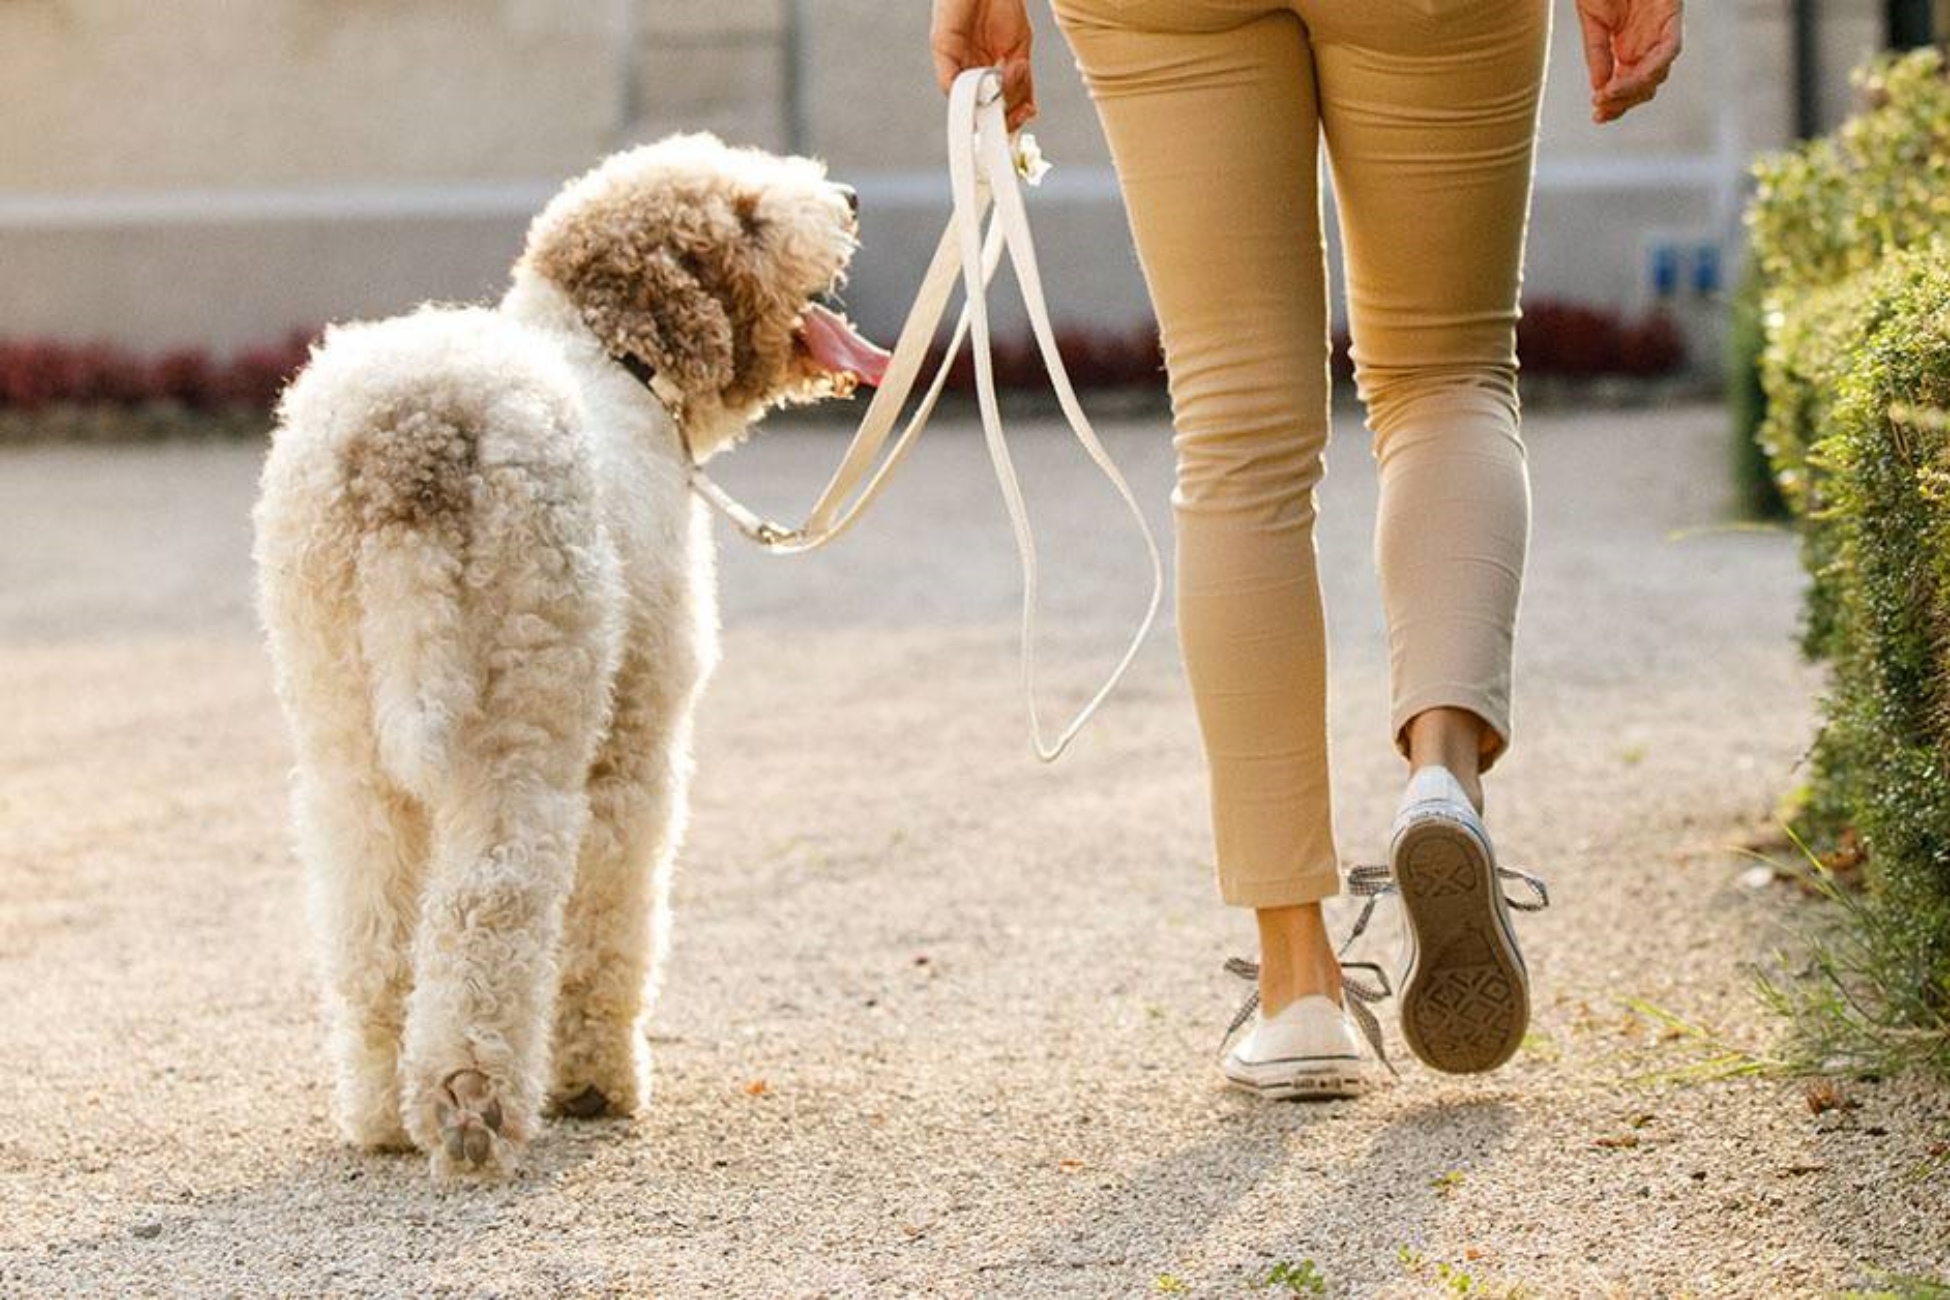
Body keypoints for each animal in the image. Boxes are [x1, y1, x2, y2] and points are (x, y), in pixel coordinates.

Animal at [251, 134, 885, 1177]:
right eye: (748, 216)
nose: (851, 197)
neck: (616, 362)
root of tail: (410, 445)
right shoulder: (634, 745)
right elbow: (610, 912)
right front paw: (592, 1081)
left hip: (342, 715)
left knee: (372, 919)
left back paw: (385, 1113)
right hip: (524, 708)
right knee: (492, 898)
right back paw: (471, 1101)